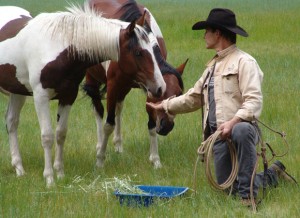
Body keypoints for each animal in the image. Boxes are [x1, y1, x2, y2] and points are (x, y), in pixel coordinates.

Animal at [0, 4, 164, 186]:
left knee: (11, 122)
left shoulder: (68, 96)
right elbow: (47, 136)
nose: (160, 87)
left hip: (17, 92)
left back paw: (19, 169)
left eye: (154, 48)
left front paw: (60, 173)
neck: (58, 46)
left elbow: (61, 134)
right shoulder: (40, 97)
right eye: (138, 52)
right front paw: (49, 178)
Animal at [84, 0, 188, 169]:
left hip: (124, 87)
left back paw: (118, 145)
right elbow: (108, 124)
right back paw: (100, 145)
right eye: (160, 95)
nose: (166, 126)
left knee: (119, 107)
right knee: (98, 109)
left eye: (179, 93)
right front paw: (100, 160)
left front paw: (155, 160)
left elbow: (151, 124)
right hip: (92, 78)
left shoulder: (149, 85)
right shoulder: (113, 86)